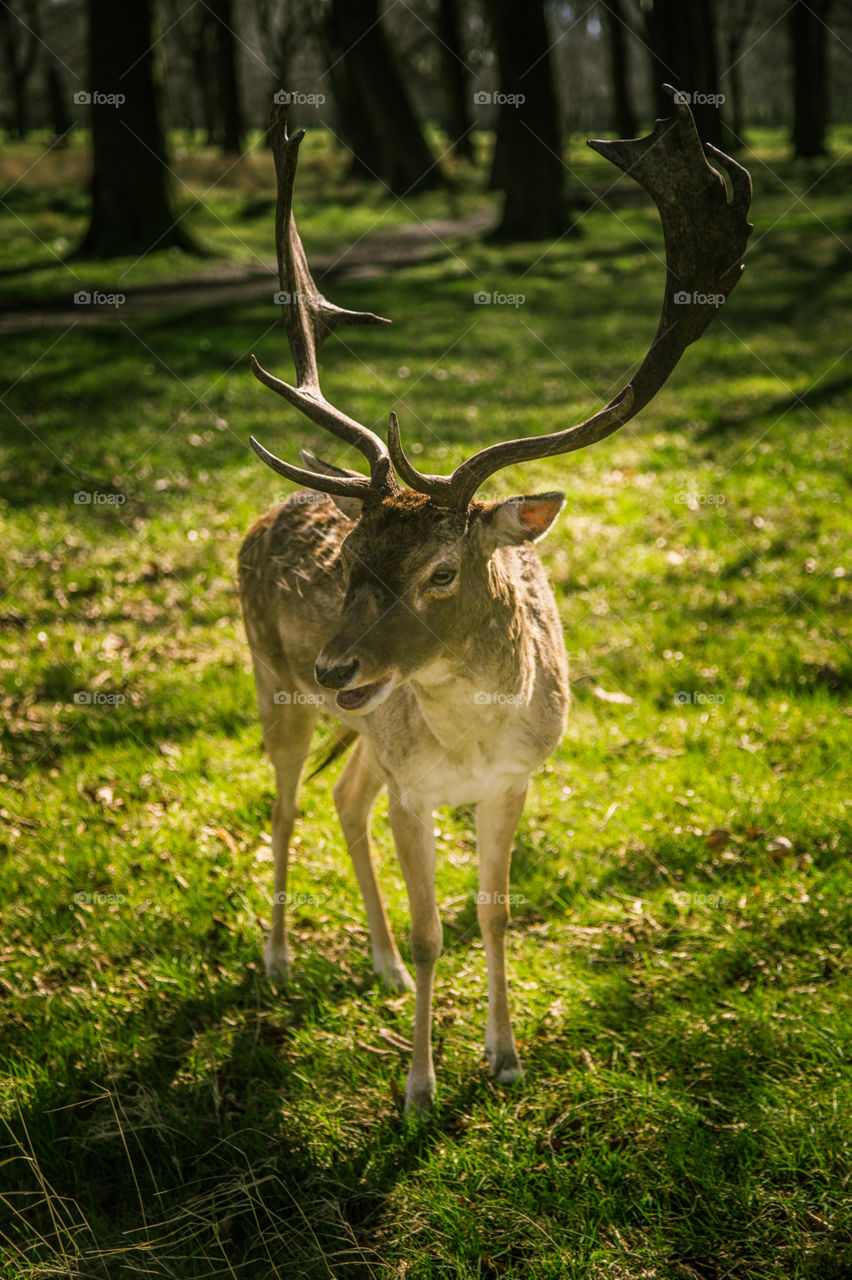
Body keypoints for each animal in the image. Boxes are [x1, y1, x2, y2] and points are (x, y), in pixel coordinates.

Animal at [239, 90, 752, 1111]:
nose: (336, 663)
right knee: (283, 803)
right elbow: (438, 927)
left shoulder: (515, 779)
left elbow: (494, 915)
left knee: (343, 799)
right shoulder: (416, 787)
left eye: (442, 570)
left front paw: (506, 1058)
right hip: (273, 682)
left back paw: (382, 968)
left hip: (362, 728)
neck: (471, 742)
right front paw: (419, 1089)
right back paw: (280, 959)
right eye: (352, 557)